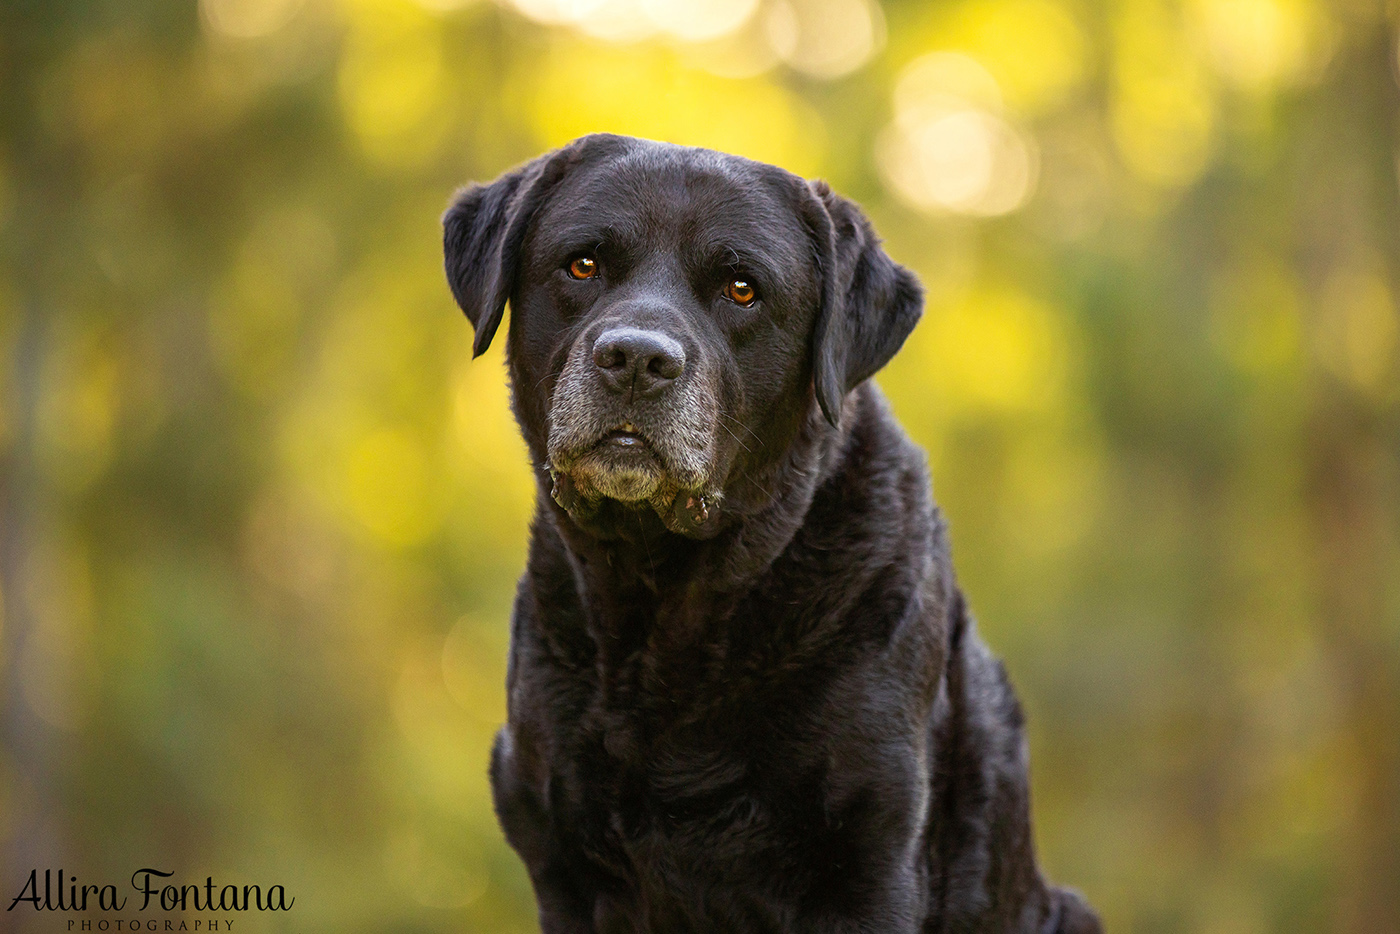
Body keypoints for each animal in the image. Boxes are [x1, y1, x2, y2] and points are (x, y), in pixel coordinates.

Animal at [442, 133, 1097, 934]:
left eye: (742, 288)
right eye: (583, 265)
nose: (636, 359)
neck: (666, 598)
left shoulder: (870, 860)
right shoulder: (560, 859)